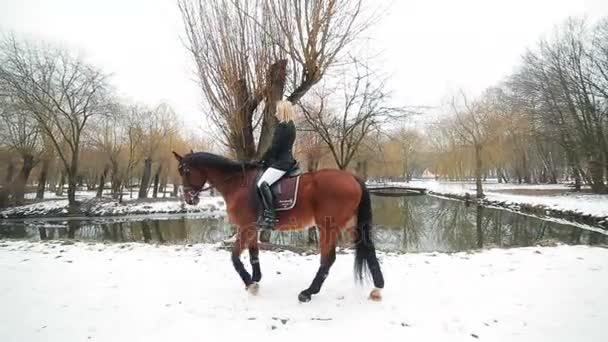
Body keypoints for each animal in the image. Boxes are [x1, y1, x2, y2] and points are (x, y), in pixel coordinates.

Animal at [172, 152, 384, 302]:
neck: (237, 184)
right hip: (352, 225)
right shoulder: (252, 228)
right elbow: (253, 253)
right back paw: (377, 289)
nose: (189, 199)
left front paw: (250, 284)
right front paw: (255, 278)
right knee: (369, 251)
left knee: (328, 259)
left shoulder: (245, 227)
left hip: (328, 227)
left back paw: (308, 292)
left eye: (185, 171)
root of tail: (353, 178)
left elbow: (234, 257)